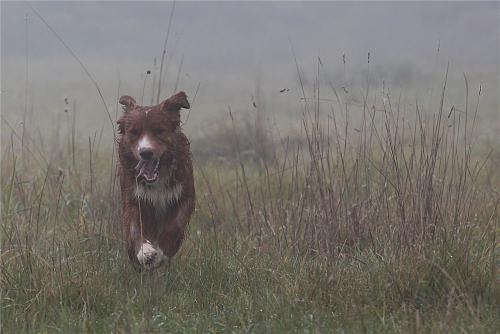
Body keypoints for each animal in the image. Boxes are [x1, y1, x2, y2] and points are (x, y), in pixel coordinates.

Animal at [117, 92, 195, 270]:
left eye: (159, 131)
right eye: (134, 132)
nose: (146, 152)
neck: (157, 180)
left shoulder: (184, 195)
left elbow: (175, 225)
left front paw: (161, 252)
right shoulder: (135, 198)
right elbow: (135, 227)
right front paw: (145, 252)